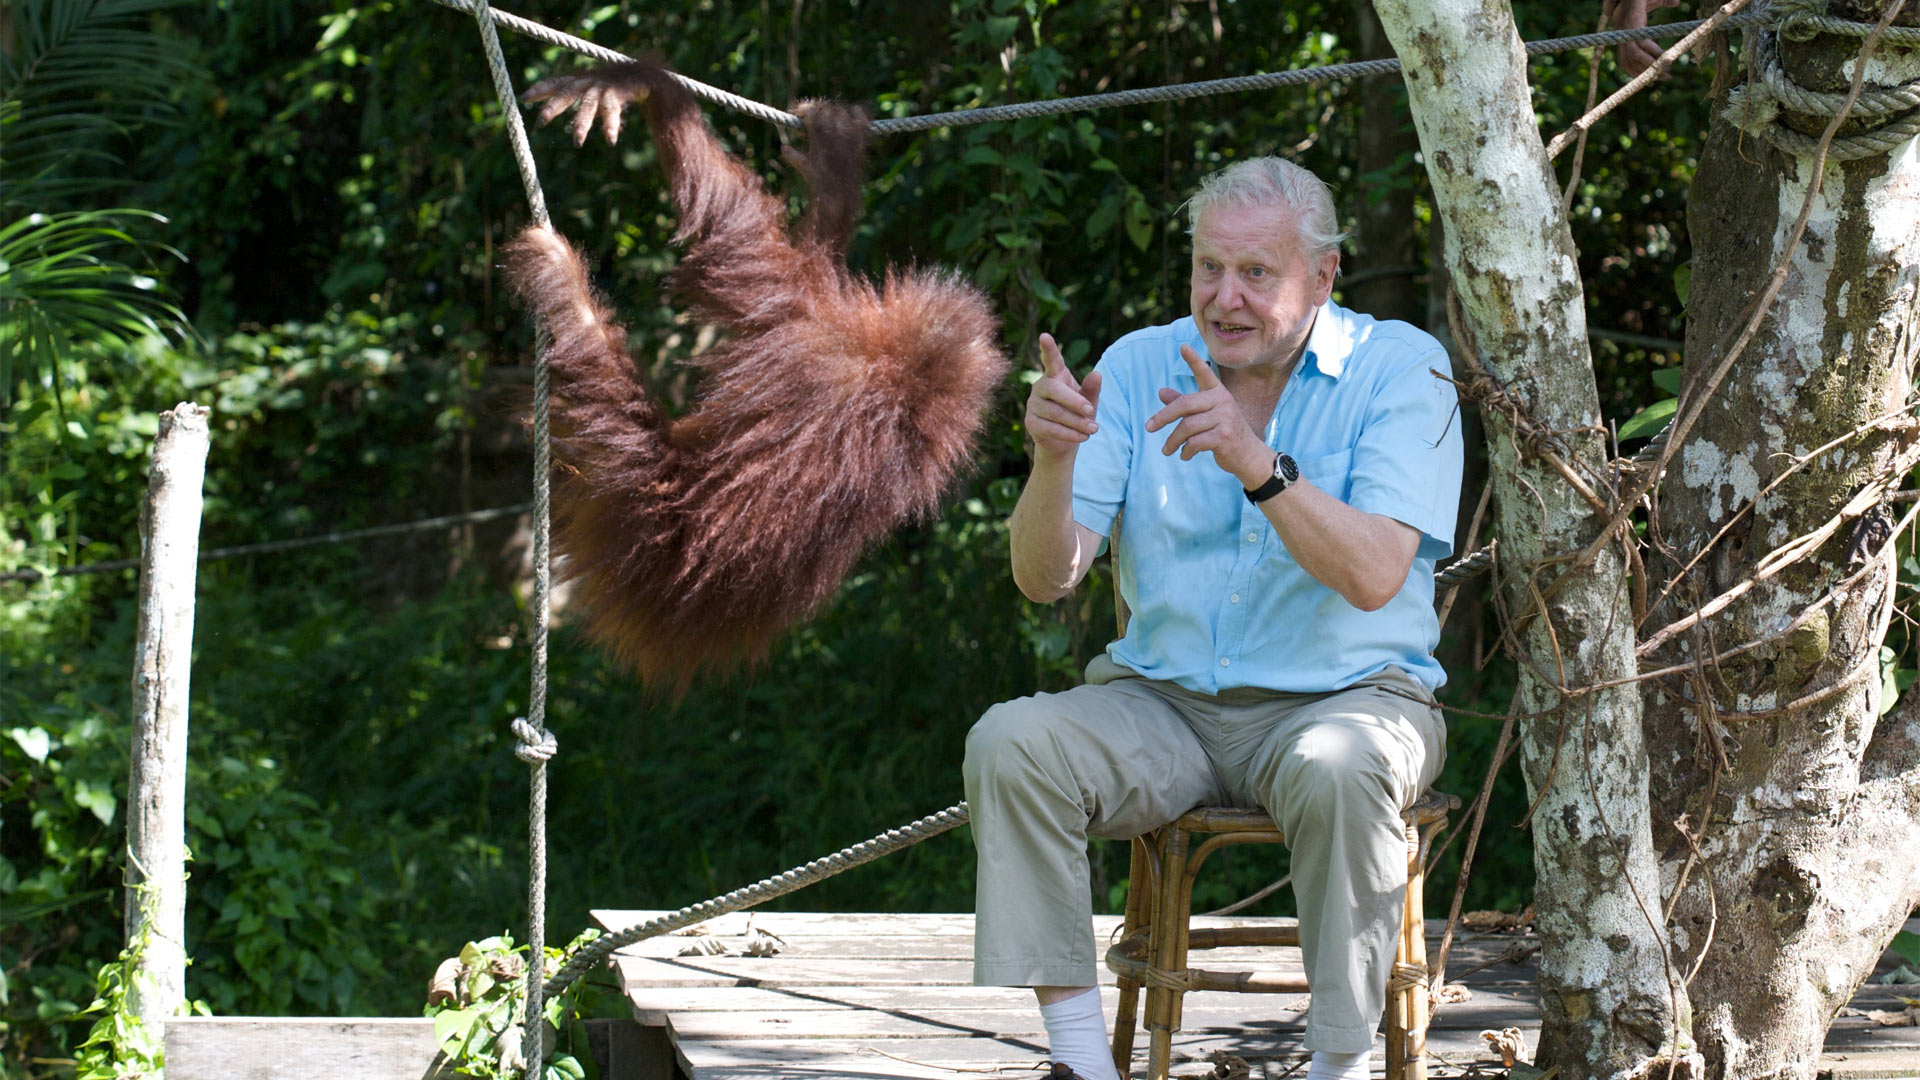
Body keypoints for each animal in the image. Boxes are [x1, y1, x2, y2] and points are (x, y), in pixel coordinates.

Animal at [503, 60, 1010, 694]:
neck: (903, 387)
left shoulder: (803, 325)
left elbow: (730, 230)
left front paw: (637, 81)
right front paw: (835, 163)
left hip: (629, 498)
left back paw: (561, 283)